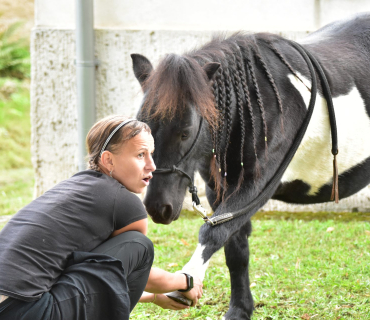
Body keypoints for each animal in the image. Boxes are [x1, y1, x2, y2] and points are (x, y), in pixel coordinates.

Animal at [131, 13, 370, 320]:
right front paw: (240, 308)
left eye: (185, 132)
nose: (158, 208)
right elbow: (235, 247)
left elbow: (213, 232)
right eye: (144, 127)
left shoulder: (257, 186)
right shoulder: (220, 189)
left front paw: (186, 283)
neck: (255, 106)